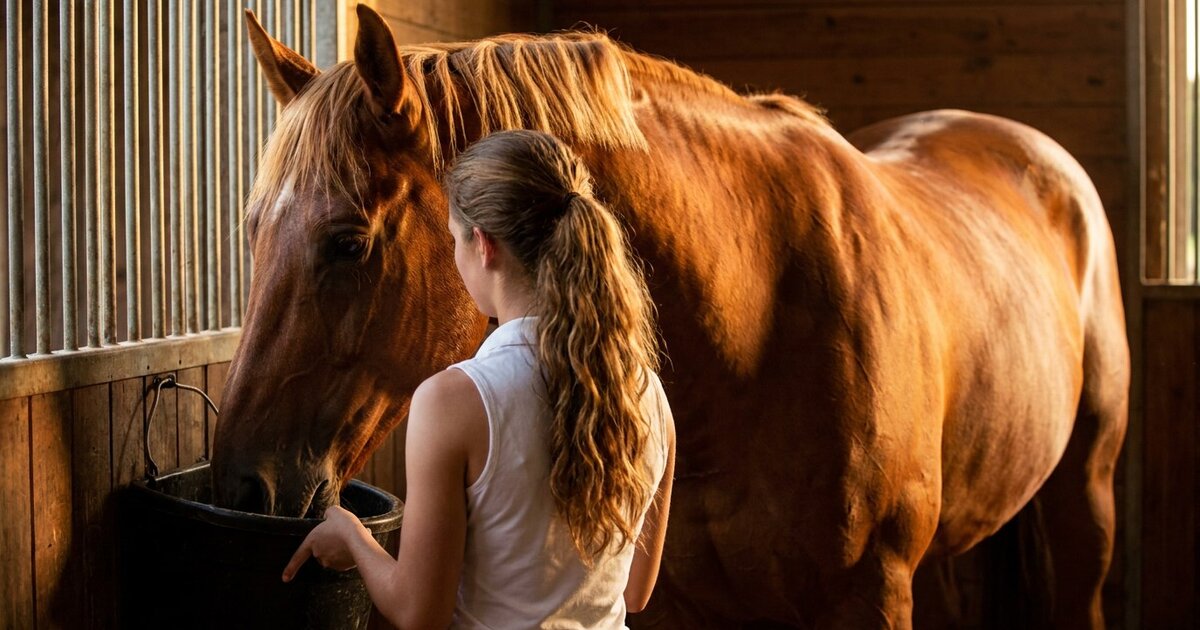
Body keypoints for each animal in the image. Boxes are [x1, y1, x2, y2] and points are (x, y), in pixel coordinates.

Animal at [211, 6, 1129, 628]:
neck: (758, 329)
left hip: (1085, 493)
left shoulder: (870, 592)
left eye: (348, 242)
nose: (239, 486)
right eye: (252, 229)